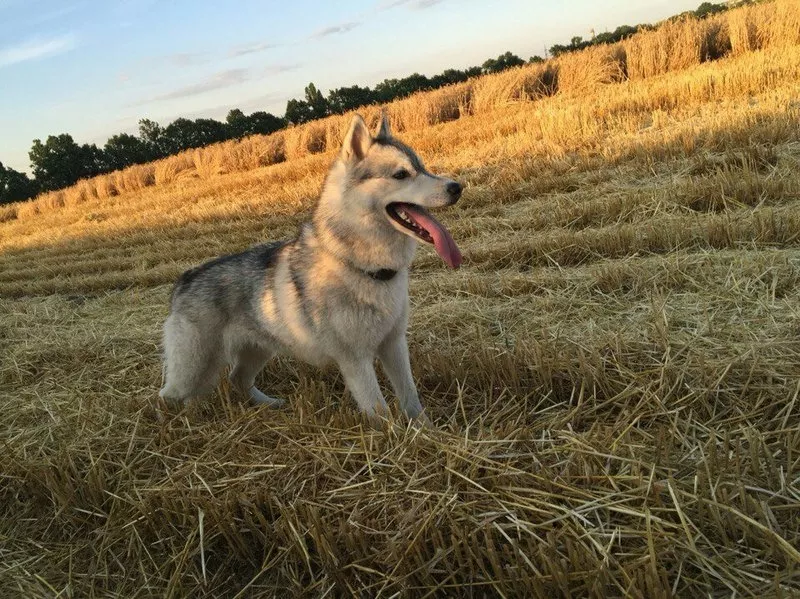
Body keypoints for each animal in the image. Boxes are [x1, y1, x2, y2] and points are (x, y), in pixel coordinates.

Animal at [159, 111, 462, 422]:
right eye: (401, 174)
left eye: (422, 167)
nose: (457, 188)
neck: (358, 264)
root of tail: (185, 279)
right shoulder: (355, 359)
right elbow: (379, 411)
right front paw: (395, 433)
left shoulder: (394, 344)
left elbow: (411, 397)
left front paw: (425, 429)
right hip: (192, 369)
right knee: (167, 397)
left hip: (258, 349)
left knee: (238, 380)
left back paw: (270, 404)